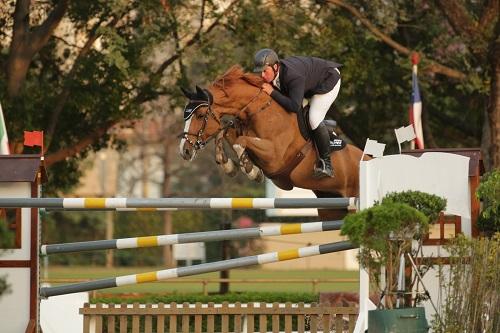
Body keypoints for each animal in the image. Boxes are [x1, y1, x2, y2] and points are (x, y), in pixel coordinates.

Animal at [178, 65, 366, 219]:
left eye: (200, 115)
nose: (184, 151)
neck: (260, 111)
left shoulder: (274, 156)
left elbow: (241, 140)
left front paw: (251, 171)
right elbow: (223, 134)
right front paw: (229, 165)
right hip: (330, 208)